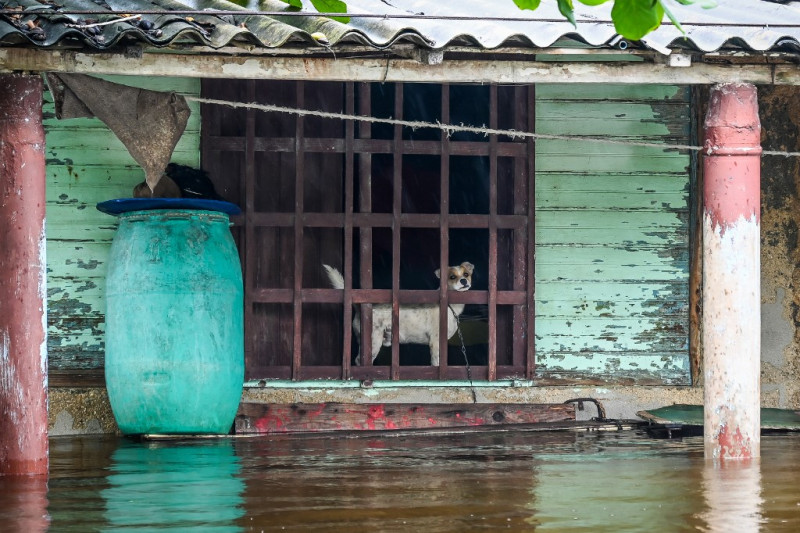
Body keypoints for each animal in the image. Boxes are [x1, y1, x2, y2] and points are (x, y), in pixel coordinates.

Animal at [320, 260, 472, 366]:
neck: (450, 306)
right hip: (373, 341)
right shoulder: (435, 342)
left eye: (466, 274)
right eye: (452, 277)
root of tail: (359, 306)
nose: (464, 280)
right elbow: (436, 363)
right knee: (359, 361)